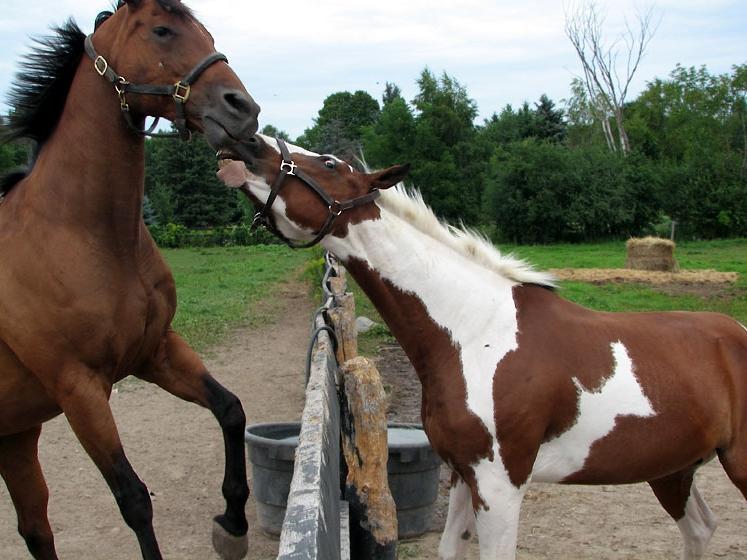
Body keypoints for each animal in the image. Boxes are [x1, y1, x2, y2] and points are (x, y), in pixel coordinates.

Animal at [0, 2, 260, 556]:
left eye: (208, 34)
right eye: (162, 31)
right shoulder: (78, 388)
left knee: (35, 530)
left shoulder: (156, 351)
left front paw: (232, 523)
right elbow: (135, 499)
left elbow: (230, 411)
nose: (243, 109)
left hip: (16, 435)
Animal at [219, 137, 747, 560]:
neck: (474, 329)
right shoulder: (462, 473)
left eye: (328, 162)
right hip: (673, 469)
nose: (245, 145)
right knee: (700, 529)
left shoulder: (500, 486)